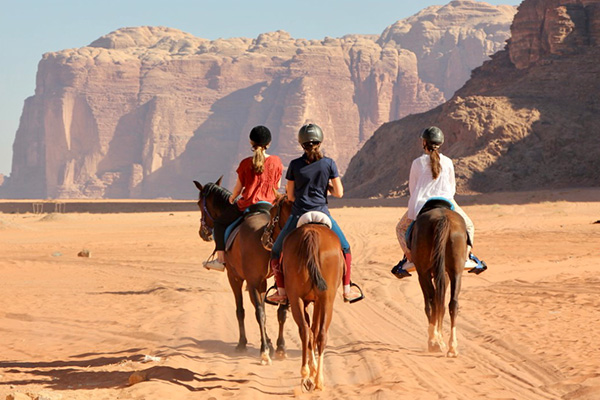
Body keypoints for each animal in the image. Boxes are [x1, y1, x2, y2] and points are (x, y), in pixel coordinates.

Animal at [192, 178, 286, 366]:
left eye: (199, 204)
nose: (202, 233)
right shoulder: (260, 281)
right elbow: (262, 307)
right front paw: (270, 343)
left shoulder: (236, 278)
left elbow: (241, 310)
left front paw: (244, 343)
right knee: (282, 310)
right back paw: (280, 347)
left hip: (250, 279)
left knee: (260, 312)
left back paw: (264, 351)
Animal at [262, 195, 342, 390]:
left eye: (273, 213)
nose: (264, 238)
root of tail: (311, 234)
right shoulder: (315, 300)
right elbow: (314, 330)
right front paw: (313, 370)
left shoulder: (307, 301)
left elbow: (311, 330)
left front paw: (311, 369)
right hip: (325, 298)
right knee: (318, 333)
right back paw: (315, 378)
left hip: (299, 298)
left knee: (307, 331)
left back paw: (307, 376)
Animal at [412, 198, 468, 358]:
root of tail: (443, 218)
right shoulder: (445, 274)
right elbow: (441, 302)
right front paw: (441, 339)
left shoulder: (422, 274)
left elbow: (430, 304)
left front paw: (436, 340)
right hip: (456, 270)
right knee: (452, 303)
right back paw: (452, 347)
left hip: (424, 272)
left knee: (432, 302)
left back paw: (434, 342)